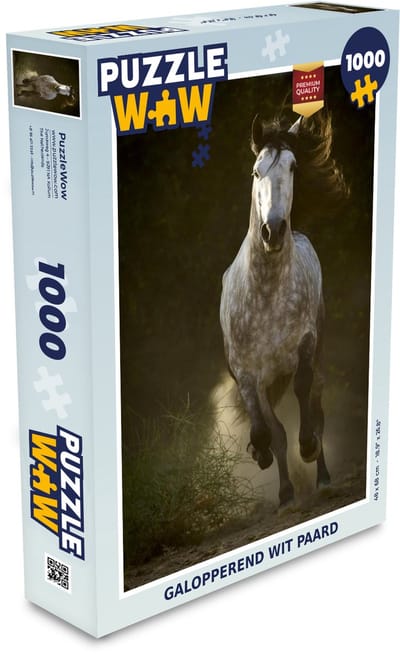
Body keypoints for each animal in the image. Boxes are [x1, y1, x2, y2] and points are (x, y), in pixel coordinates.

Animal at [220, 111, 346, 506]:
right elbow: (268, 430)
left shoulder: (305, 344)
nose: (272, 231)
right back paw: (287, 492)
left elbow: (304, 395)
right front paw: (261, 457)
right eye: (255, 171)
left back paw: (322, 476)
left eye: (292, 167)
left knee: (317, 407)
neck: (265, 295)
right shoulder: (248, 374)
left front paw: (308, 447)